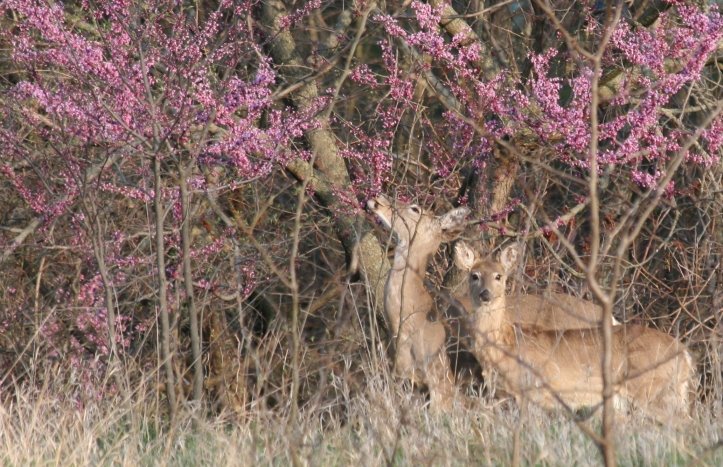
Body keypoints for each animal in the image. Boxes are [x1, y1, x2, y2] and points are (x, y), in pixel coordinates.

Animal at [454, 241, 694, 423]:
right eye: (474, 275)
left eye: (499, 276)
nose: (485, 294)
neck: (506, 345)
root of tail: (685, 353)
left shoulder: (530, 392)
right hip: (672, 393)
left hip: (650, 390)